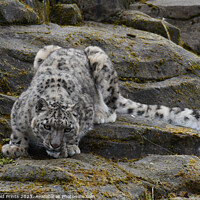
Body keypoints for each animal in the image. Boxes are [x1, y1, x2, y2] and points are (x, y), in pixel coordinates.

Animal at [1, 45, 200, 158]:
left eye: (67, 129)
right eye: (47, 126)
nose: (55, 145)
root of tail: (73, 48)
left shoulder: (85, 111)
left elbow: (81, 129)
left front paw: (70, 147)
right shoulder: (19, 109)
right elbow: (18, 131)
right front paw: (14, 148)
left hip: (101, 61)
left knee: (113, 106)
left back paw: (102, 113)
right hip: (42, 53)